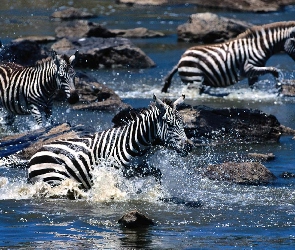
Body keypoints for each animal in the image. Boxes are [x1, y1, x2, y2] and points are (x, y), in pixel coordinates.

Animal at [27, 94, 192, 190]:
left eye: (183, 123)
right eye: (169, 124)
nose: (189, 147)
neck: (134, 142)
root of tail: (35, 153)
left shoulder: (138, 167)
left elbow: (158, 173)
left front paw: (156, 192)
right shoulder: (114, 171)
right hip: (54, 179)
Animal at [162, 21, 295, 94]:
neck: (259, 47)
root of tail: (181, 59)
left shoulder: (254, 72)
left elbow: (253, 86)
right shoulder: (248, 69)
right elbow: (274, 70)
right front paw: (278, 85)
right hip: (194, 79)